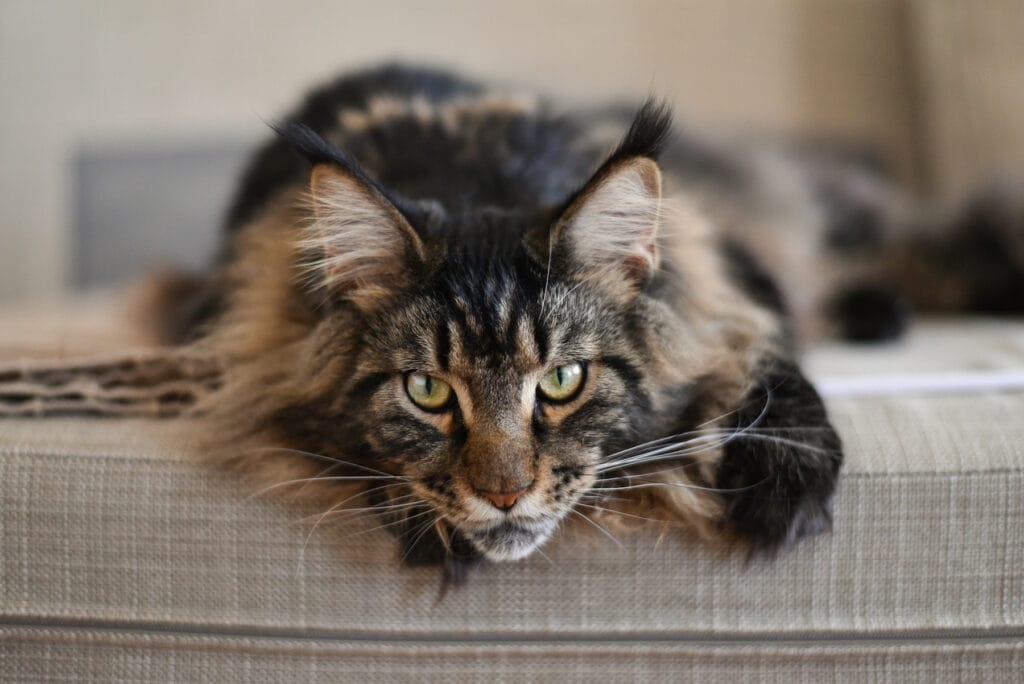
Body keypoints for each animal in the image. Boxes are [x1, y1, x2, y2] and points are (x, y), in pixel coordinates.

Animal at [155, 63, 1019, 577]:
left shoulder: (728, 279)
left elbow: (768, 356)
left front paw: (784, 486)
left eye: (564, 380)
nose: (504, 496)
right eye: (426, 391)